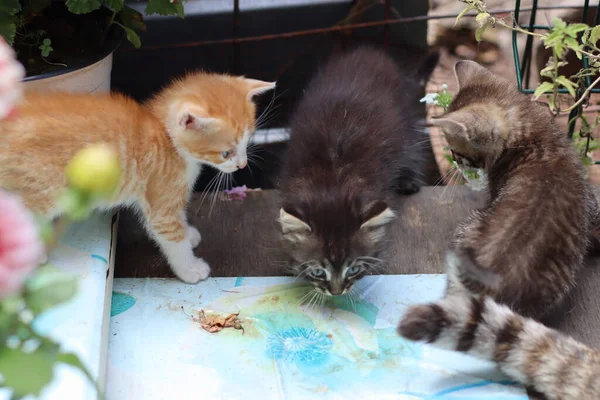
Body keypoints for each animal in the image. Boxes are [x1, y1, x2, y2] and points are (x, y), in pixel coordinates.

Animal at [0, 72, 276, 284]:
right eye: (226, 153)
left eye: (247, 142)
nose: (242, 164)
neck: (166, 135)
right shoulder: (162, 200)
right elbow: (171, 235)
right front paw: (189, 268)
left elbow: (176, 219)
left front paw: (188, 234)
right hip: (41, 191)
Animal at [276, 47, 436, 296]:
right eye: (318, 271)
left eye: (354, 269)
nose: (336, 292)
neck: (331, 179)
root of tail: (371, 53)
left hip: (404, 120)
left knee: (412, 146)